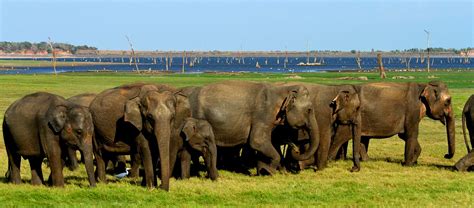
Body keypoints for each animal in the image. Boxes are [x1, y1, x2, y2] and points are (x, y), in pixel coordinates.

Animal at [183, 80, 320, 175]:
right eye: (309, 110)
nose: (295, 148)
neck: (283, 90)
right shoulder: (263, 114)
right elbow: (257, 141)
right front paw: (268, 171)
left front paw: (262, 170)